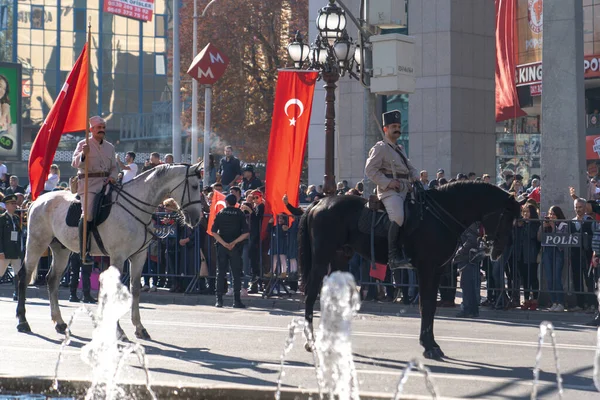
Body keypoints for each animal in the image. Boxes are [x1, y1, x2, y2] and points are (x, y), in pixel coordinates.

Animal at [15, 162, 204, 338]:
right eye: (195, 186)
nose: (197, 218)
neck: (136, 209)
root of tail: (37, 201)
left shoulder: (139, 256)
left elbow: (135, 289)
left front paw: (139, 327)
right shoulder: (117, 257)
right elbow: (115, 291)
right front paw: (119, 331)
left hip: (61, 249)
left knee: (52, 279)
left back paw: (59, 322)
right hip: (36, 243)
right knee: (24, 276)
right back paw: (23, 321)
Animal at [300, 181, 520, 360]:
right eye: (506, 216)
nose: (499, 250)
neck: (441, 215)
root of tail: (319, 203)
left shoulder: (437, 270)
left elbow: (431, 306)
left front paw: (431, 344)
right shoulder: (426, 269)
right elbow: (426, 305)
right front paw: (429, 346)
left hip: (340, 259)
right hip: (321, 260)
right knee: (311, 295)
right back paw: (311, 341)